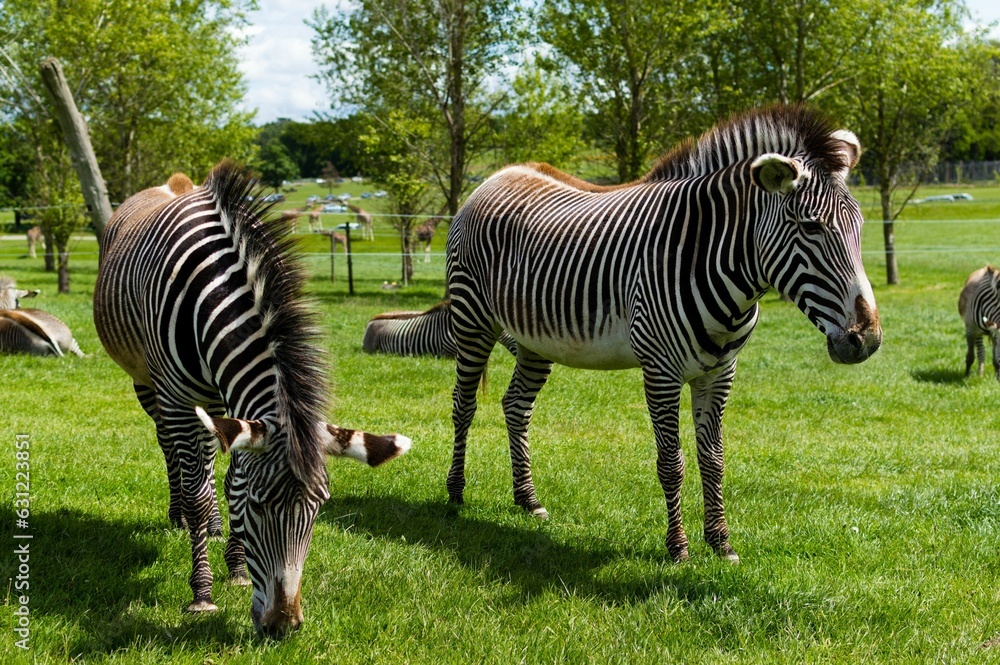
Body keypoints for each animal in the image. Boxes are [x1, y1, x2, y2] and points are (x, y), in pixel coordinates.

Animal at [93, 162, 411, 637]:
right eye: (261, 508)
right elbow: (199, 490)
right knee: (171, 451)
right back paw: (180, 516)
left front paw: (238, 568)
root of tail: (176, 184)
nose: (284, 626)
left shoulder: (236, 405)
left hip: (211, 403)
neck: (212, 293)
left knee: (207, 460)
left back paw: (214, 526)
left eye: (319, 509)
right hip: (149, 385)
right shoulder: (179, 398)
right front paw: (202, 593)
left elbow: (232, 482)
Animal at [445, 104, 881, 563]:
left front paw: (720, 541)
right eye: (811, 227)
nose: (866, 339)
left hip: (534, 340)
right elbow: (671, 462)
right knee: (464, 405)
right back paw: (455, 494)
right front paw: (678, 547)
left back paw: (527, 499)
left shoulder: (720, 372)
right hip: (472, 319)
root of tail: (499, 174)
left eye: (860, 227)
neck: (710, 257)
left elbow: (713, 458)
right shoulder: (660, 370)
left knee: (516, 406)